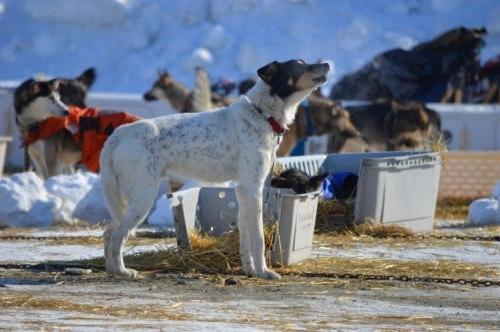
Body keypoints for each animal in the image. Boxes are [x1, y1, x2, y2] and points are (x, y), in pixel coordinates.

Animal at [100, 59, 332, 278]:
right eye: (300, 65)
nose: (328, 64)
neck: (262, 114)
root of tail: (121, 133)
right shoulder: (253, 188)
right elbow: (257, 237)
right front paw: (264, 272)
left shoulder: (243, 191)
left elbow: (245, 236)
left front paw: (250, 270)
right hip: (142, 197)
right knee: (117, 235)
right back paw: (122, 271)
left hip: (129, 202)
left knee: (109, 232)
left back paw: (111, 270)